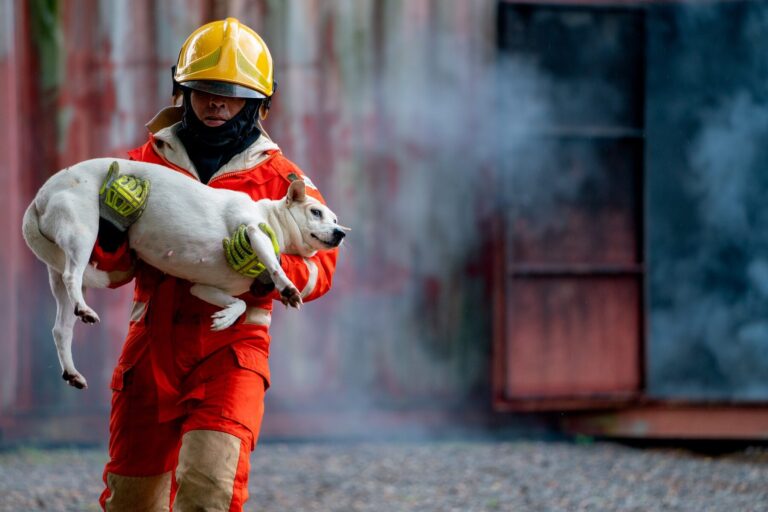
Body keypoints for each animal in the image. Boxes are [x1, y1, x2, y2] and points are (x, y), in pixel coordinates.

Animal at [23, 156, 348, 388]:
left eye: (334, 219)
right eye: (315, 212)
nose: (340, 233)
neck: (272, 217)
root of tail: (40, 196)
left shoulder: (203, 287)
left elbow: (240, 303)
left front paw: (224, 318)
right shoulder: (254, 233)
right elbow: (275, 266)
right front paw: (288, 289)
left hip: (59, 271)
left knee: (61, 328)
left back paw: (72, 371)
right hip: (83, 233)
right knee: (72, 276)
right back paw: (85, 310)